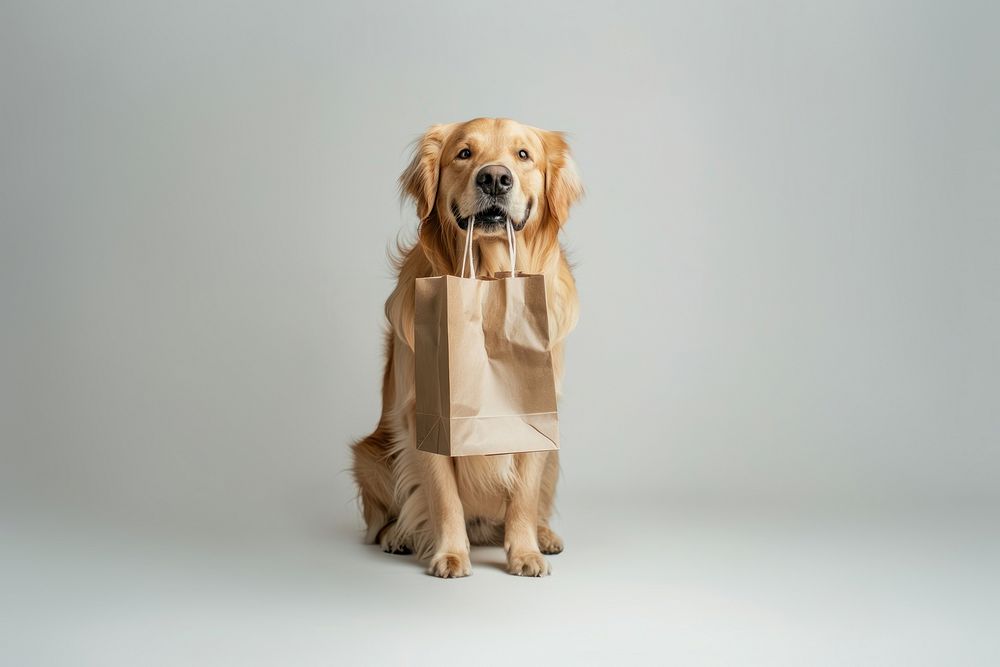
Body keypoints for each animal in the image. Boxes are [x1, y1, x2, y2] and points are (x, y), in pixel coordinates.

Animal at [354, 117, 584, 576]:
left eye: (523, 154)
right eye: (464, 153)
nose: (494, 178)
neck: (489, 276)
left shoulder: (535, 418)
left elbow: (524, 496)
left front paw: (525, 552)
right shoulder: (422, 417)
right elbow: (443, 496)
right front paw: (450, 554)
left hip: (554, 453)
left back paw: (544, 535)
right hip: (370, 454)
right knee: (385, 515)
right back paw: (399, 535)